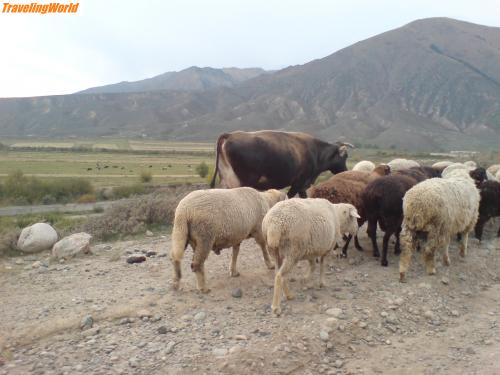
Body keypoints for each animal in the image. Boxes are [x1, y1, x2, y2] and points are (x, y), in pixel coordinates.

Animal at [209, 131, 354, 198]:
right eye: (345, 156)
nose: (345, 170)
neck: (316, 152)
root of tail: (231, 135)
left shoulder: (302, 186)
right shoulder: (299, 182)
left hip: (226, 179)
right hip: (244, 180)